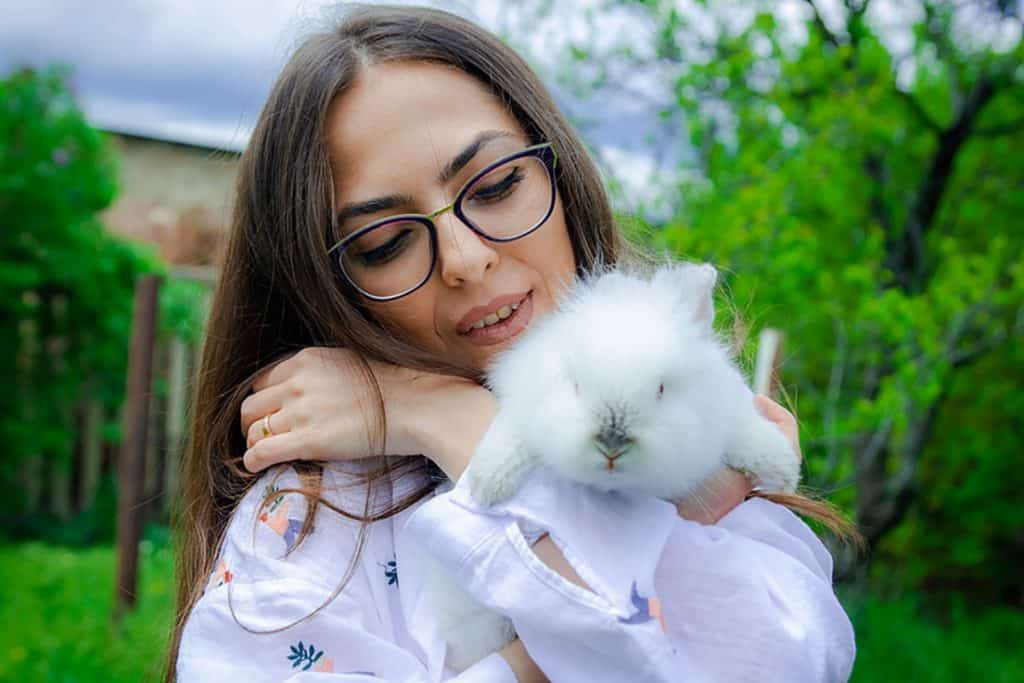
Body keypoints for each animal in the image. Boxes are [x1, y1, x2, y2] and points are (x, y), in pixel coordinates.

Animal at [423, 262, 798, 671]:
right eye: (575, 385)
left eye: (662, 389)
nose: (612, 443)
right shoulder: (525, 406)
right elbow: (512, 435)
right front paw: (487, 484)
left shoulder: (727, 414)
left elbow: (745, 433)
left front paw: (783, 469)